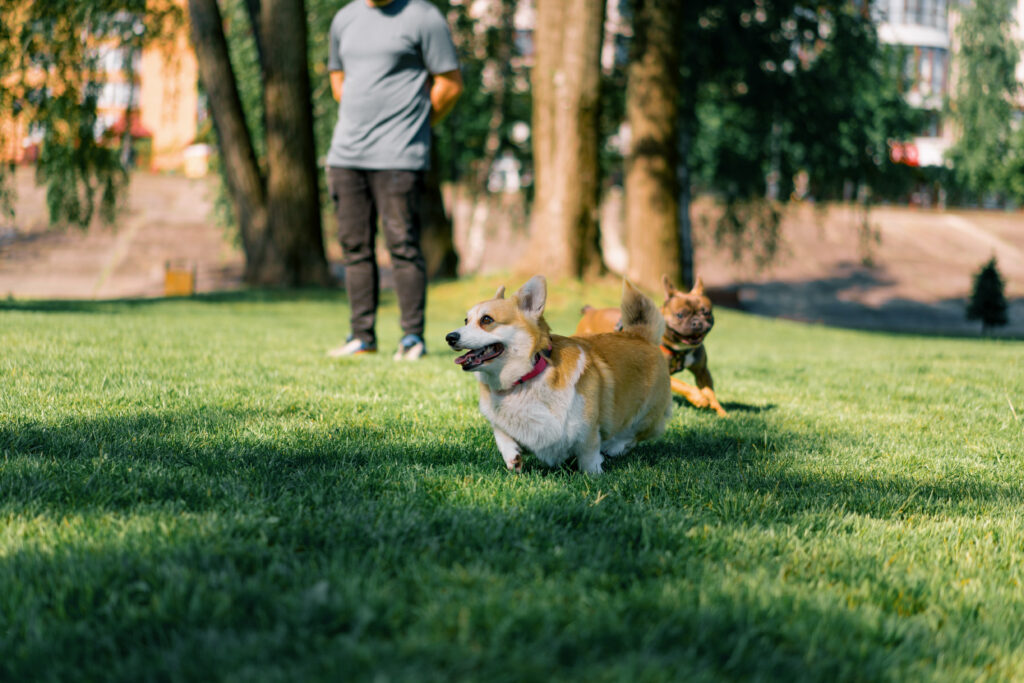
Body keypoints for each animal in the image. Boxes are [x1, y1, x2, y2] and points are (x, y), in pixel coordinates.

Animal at [446, 274, 671, 473]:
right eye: (466, 320)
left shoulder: (587, 428)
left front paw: (594, 473)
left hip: (647, 414)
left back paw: (613, 447)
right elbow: (502, 436)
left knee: (634, 435)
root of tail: (639, 335)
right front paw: (512, 458)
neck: (523, 380)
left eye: (486, 320)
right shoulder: (503, 424)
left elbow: (589, 455)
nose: (450, 337)